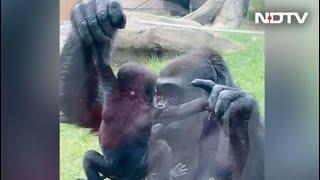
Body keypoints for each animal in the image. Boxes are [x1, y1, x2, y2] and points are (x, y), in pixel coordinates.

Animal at [82, 44, 208, 180]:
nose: (155, 98)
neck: (131, 97)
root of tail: (122, 176)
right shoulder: (150, 110)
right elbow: (179, 112)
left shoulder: (113, 91)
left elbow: (101, 66)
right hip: (127, 170)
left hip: (122, 170)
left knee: (88, 157)